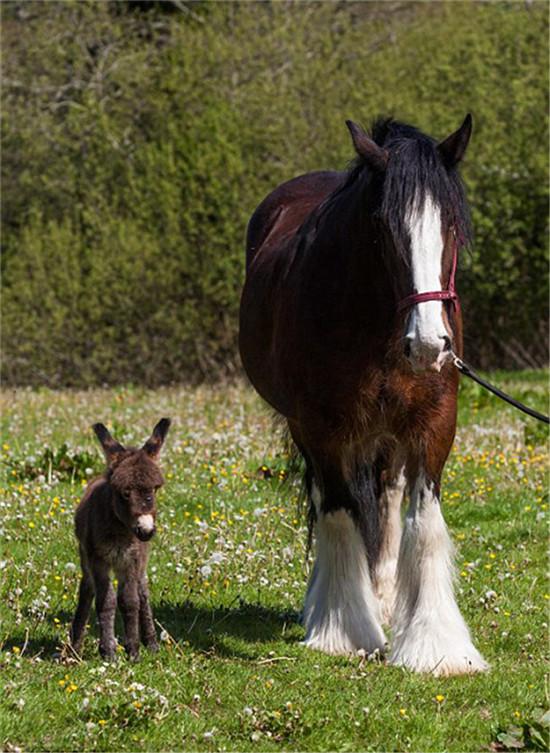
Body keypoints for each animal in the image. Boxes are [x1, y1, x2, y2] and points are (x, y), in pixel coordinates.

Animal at [70, 418, 171, 656]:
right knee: (87, 589)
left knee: (143, 591)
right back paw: (75, 646)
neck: (121, 533)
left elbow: (130, 601)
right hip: (86, 557)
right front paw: (108, 651)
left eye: (155, 489)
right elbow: (105, 601)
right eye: (124, 493)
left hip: (140, 561)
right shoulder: (99, 560)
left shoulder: (132, 560)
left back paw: (151, 642)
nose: (146, 530)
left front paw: (133, 649)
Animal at [239, 113, 490, 676]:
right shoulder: (323, 427)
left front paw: (435, 644)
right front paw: (342, 630)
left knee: (388, 500)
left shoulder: (435, 421)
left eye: (451, 225)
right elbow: (337, 513)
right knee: (331, 501)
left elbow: (423, 521)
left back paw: (384, 598)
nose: (429, 344)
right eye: (383, 229)